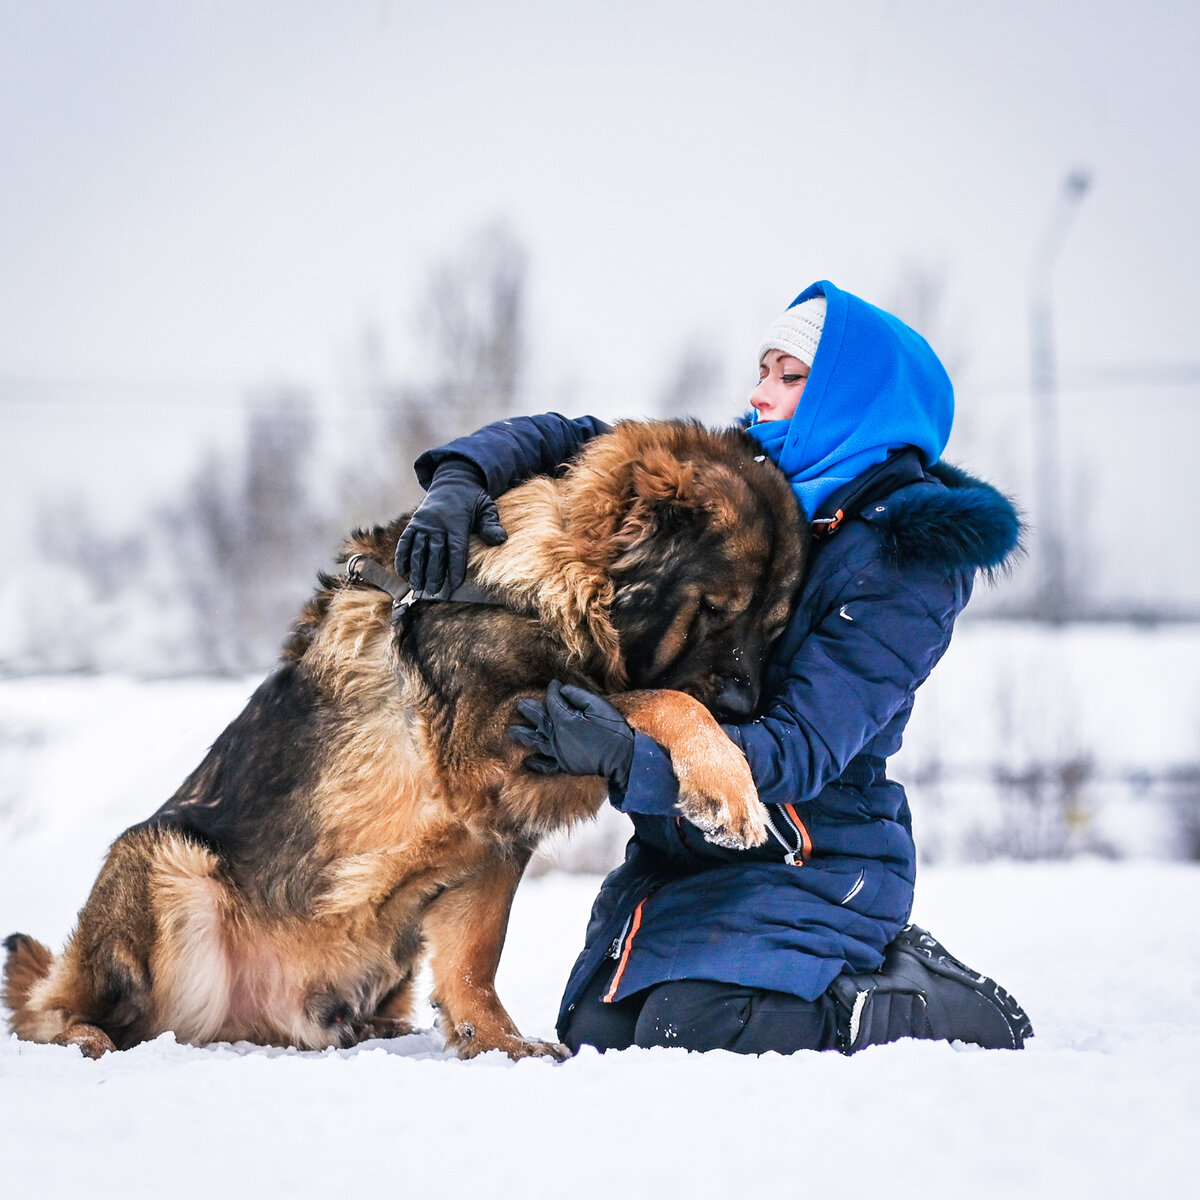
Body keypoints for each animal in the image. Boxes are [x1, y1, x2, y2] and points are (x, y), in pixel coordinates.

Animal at [4, 420, 806, 1060]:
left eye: (772, 626)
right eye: (713, 609)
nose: (748, 706)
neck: (543, 584)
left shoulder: (496, 834)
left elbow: (475, 959)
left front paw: (496, 1042)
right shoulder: (494, 735)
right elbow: (660, 696)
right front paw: (726, 784)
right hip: (163, 857)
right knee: (52, 1012)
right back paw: (85, 1034)